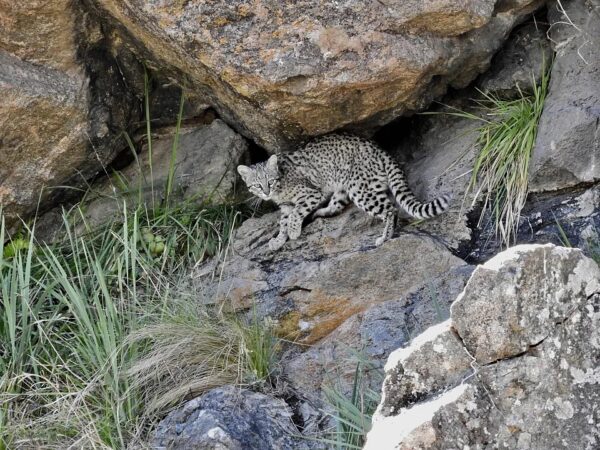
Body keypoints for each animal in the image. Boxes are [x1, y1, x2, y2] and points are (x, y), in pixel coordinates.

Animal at [237, 134, 448, 253]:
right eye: (256, 185)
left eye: (270, 181)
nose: (266, 192)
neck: (280, 190)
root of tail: (381, 150)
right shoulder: (287, 206)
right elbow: (284, 221)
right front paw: (279, 240)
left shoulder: (310, 194)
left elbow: (296, 214)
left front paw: (293, 232)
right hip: (344, 188)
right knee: (337, 206)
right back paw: (319, 213)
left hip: (360, 190)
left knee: (390, 209)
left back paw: (384, 237)